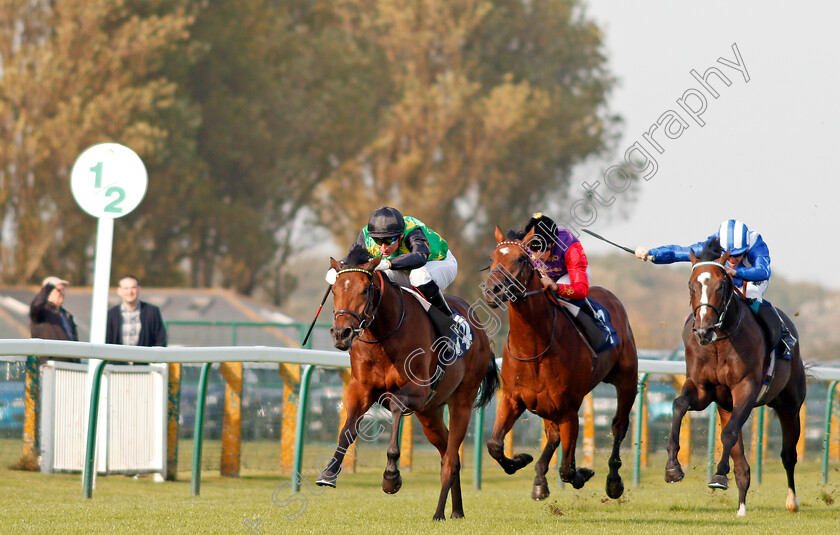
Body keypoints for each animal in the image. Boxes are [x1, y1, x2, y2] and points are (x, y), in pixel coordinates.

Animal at [316, 245, 498, 520]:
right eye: (335, 290)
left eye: (365, 289)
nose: (341, 333)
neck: (383, 336)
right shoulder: (360, 389)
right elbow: (347, 429)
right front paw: (329, 472)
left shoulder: (418, 390)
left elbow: (395, 406)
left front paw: (391, 476)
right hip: (430, 414)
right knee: (450, 453)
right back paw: (456, 510)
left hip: (462, 401)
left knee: (450, 458)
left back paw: (439, 513)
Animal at [480, 227, 636, 502]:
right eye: (492, 257)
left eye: (522, 259)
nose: (492, 291)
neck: (534, 347)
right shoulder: (513, 398)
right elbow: (495, 445)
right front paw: (520, 460)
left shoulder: (569, 409)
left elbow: (567, 469)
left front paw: (584, 473)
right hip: (544, 404)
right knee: (552, 435)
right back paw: (540, 478)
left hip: (626, 380)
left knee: (619, 426)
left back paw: (614, 481)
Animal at [668, 240, 808, 516]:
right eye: (691, 285)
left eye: (721, 285)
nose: (703, 331)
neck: (718, 342)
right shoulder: (702, 389)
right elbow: (679, 405)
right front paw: (673, 467)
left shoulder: (745, 389)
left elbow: (729, 433)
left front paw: (719, 476)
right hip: (726, 405)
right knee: (741, 458)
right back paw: (741, 505)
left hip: (789, 405)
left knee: (788, 455)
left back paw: (792, 501)